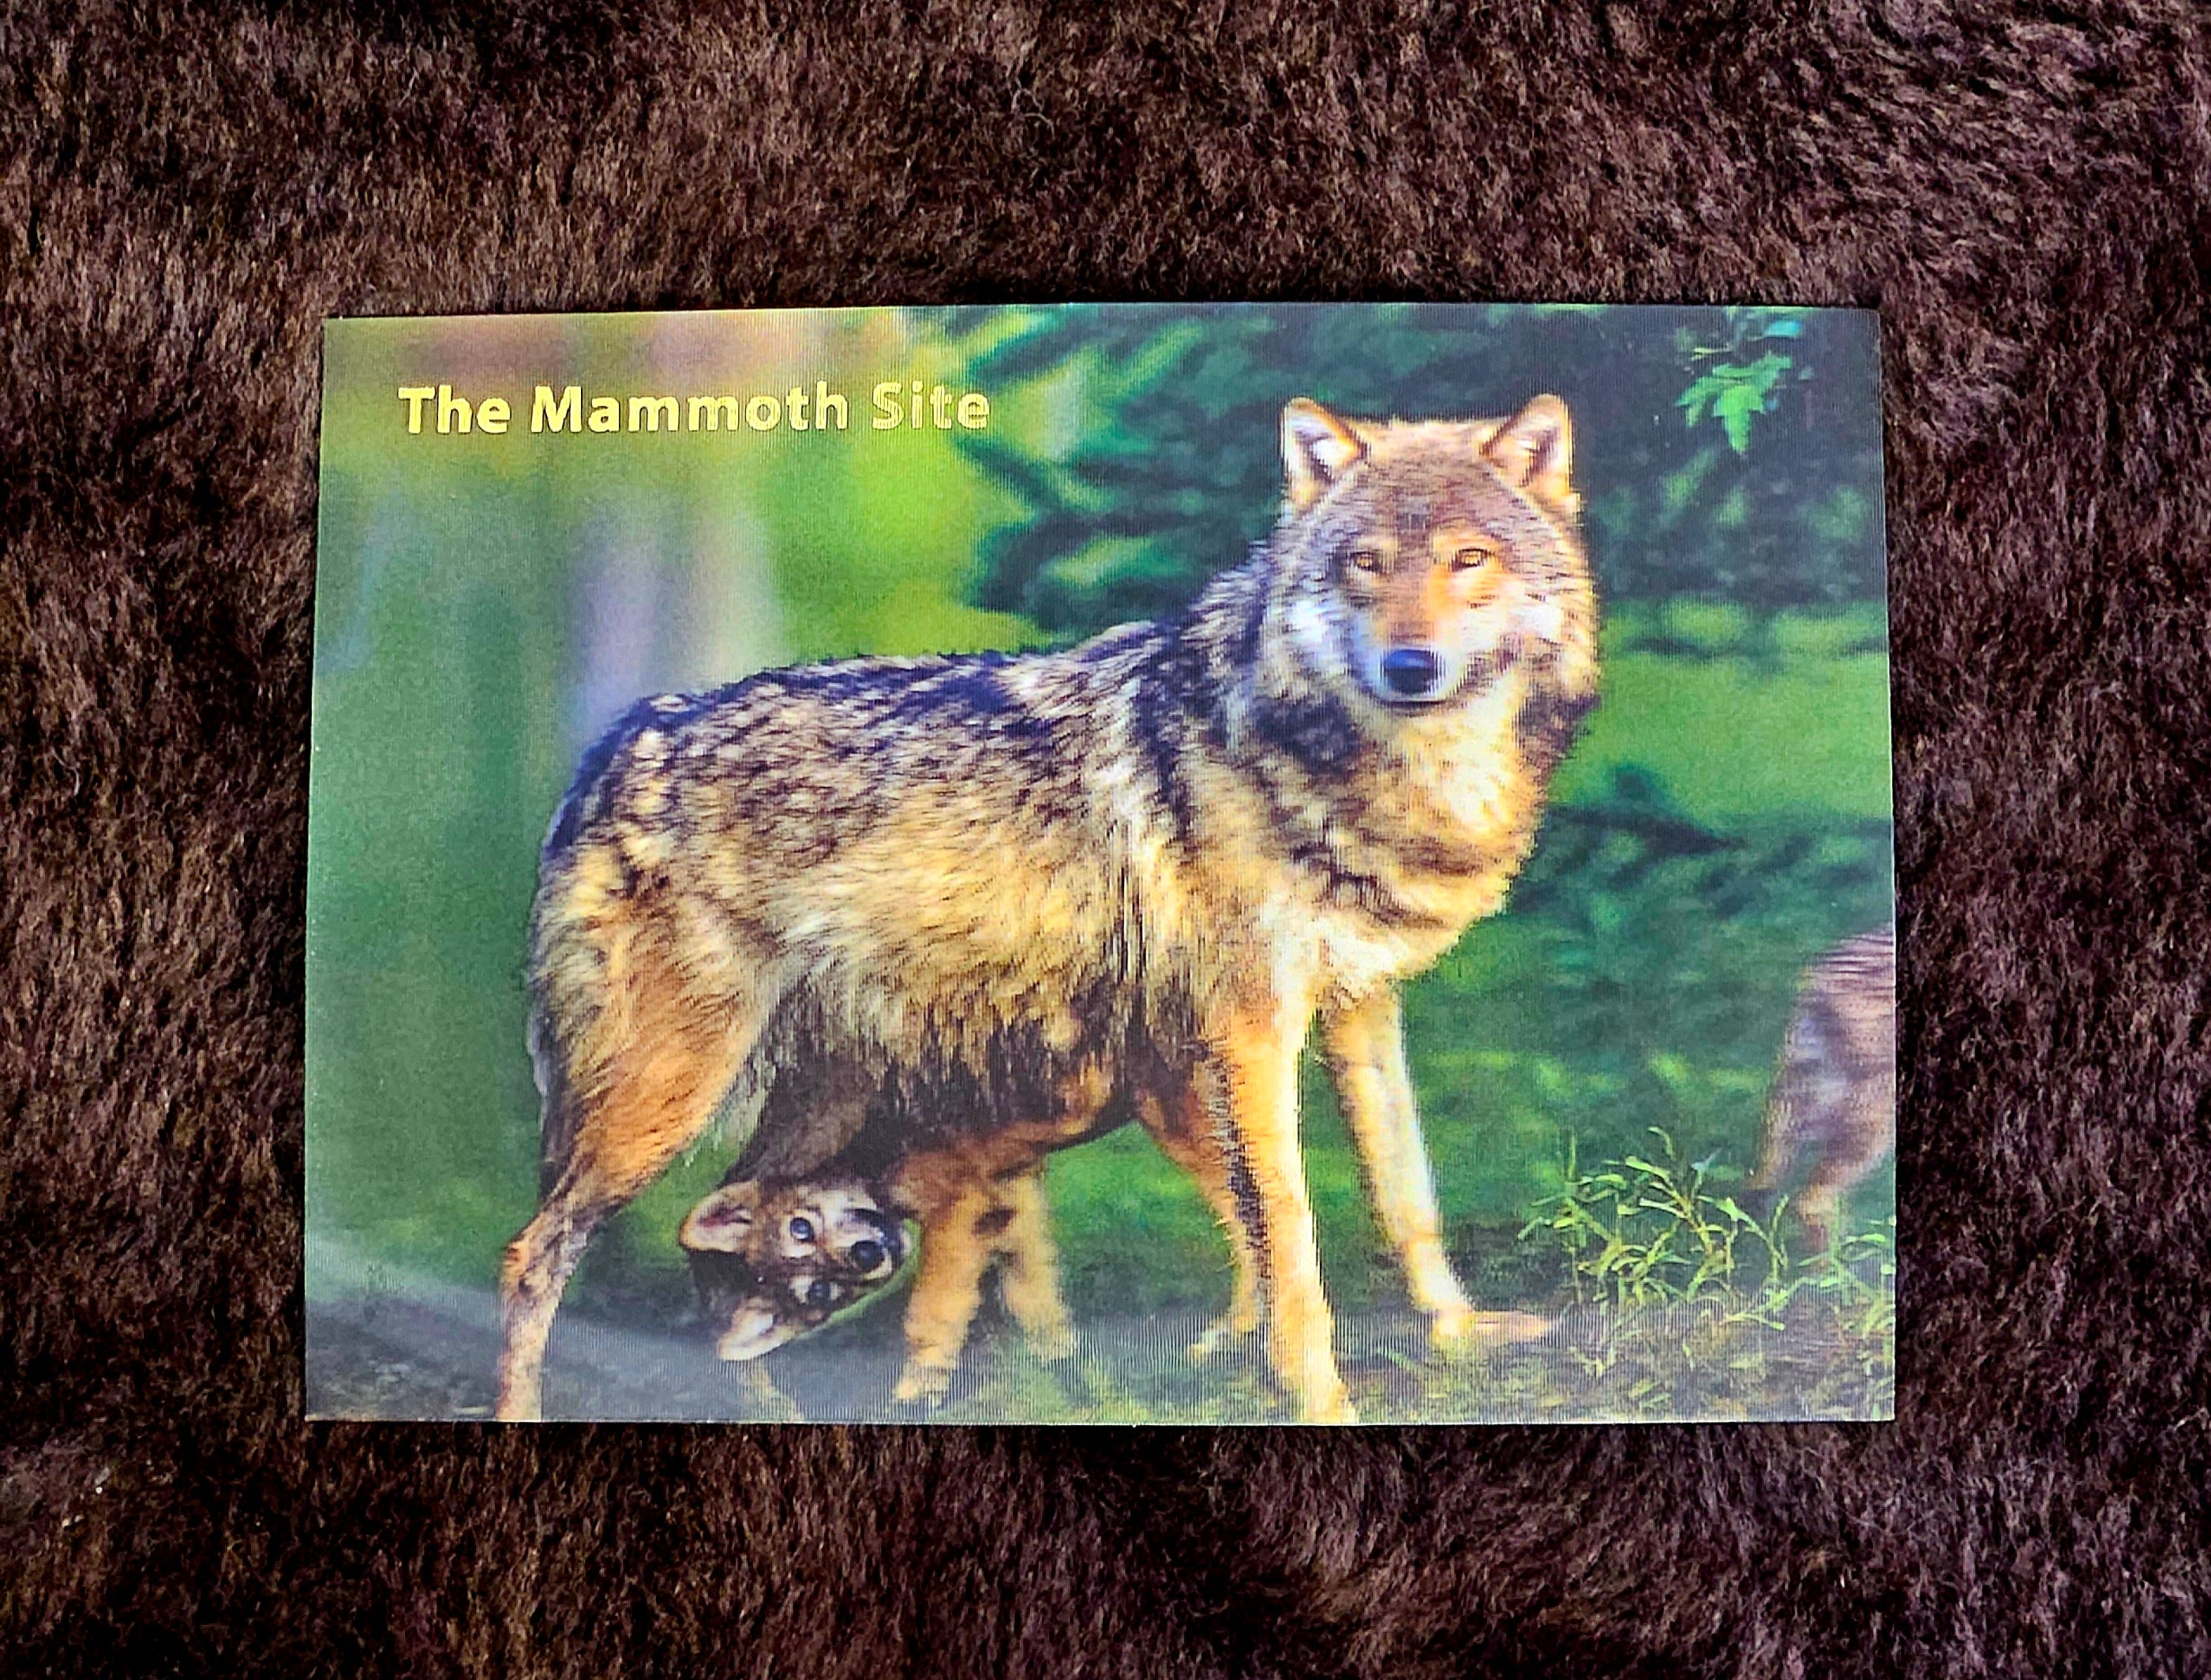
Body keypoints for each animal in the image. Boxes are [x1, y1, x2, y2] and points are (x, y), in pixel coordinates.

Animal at [495, 393, 1599, 1422]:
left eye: (1466, 559)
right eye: (1366, 563)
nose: (1409, 666)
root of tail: (616, 742)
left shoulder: (1361, 1006)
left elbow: (1404, 1189)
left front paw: (1456, 1334)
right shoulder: (1247, 1032)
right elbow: (1287, 1230)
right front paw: (1317, 1395)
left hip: (812, 1109)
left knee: (730, 1249)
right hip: (658, 1104)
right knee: (532, 1255)